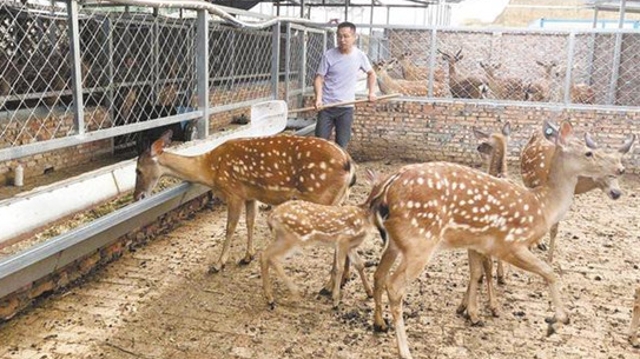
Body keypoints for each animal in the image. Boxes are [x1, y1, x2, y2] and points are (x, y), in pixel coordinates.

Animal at [134, 131, 356, 274]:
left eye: (138, 170)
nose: (138, 197)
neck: (210, 169)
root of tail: (349, 165)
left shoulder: (234, 192)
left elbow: (230, 227)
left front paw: (218, 264)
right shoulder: (250, 194)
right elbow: (250, 222)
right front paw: (247, 256)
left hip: (320, 197)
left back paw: (329, 287)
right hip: (338, 200)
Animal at [370, 121, 624, 359]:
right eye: (589, 153)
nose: (619, 169)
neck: (542, 208)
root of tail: (385, 187)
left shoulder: (477, 243)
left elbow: (476, 273)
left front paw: (471, 312)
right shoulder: (510, 244)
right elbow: (548, 272)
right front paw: (557, 320)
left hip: (396, 242)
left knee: (380, 274)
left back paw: (379, 323)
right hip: (420, 241)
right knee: (395, 285)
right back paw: (405, 350)